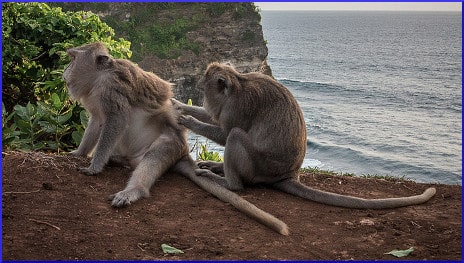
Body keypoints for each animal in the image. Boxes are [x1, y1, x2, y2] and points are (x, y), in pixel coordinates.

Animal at [62, 42, 290, 236]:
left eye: (73, 58)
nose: (65, 69)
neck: (98, 79)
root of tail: (183, 153)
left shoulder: (112, 88)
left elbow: (115, 121)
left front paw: (94, 167)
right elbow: (97, 122)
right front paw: (79, 152)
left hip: (170, 145)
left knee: (153, 159)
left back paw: (134, 190)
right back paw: (118, 161)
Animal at [172, 62, 436, 210]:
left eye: (204, 86)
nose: (200, 91)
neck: (238, 84)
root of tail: (289, 174)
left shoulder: (236, 107)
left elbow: (225, 132)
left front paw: (189, 121)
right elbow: (212, 118)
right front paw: (179, 105)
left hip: (260, 167)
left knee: (236, 137)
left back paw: (229, 183)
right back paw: (218, 168)